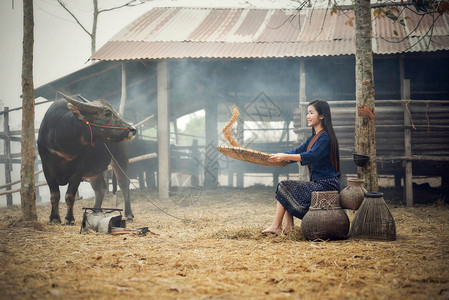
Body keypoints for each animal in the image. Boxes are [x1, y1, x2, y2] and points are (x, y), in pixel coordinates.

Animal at [37, 92, 136, 224]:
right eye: (107, 113)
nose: (132, 129)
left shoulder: (78, 171)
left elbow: (70, 195)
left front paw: (69, 219)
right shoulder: (47, 168)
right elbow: (55, 195)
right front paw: (54, 217)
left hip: (120, 158)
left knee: (124, 184)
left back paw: (129, 214)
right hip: (95, 169)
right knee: (100, 188)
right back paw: (95, 212)